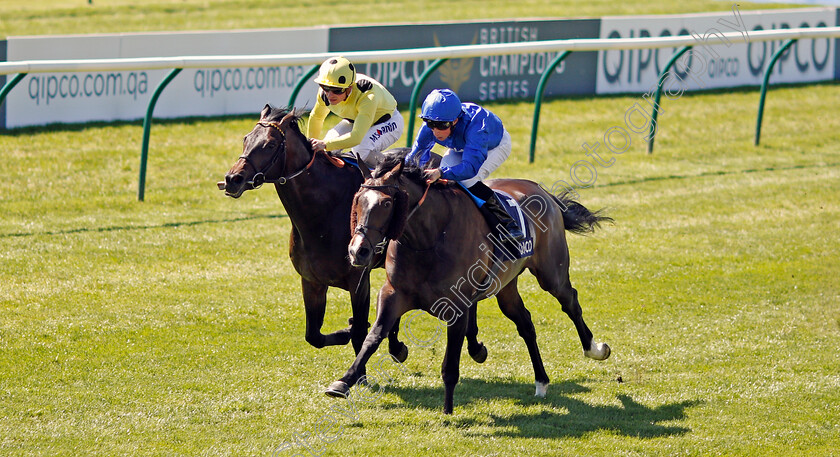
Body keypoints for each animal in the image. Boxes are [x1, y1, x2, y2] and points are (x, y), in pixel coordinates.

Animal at [326, 153, 612, 414]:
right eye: (358, 200)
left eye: (386, 203)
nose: (358, 251)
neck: (428, 238)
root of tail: (543, 191)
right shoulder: (393, 293)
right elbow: (373, 337)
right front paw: (343, 382)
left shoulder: (457, 306)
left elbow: (451, 363)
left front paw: (448, 411)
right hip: (505, 287)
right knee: (525, 323)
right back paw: (541, 381)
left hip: (551, 273)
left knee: (570, 301)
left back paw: (594, 349)